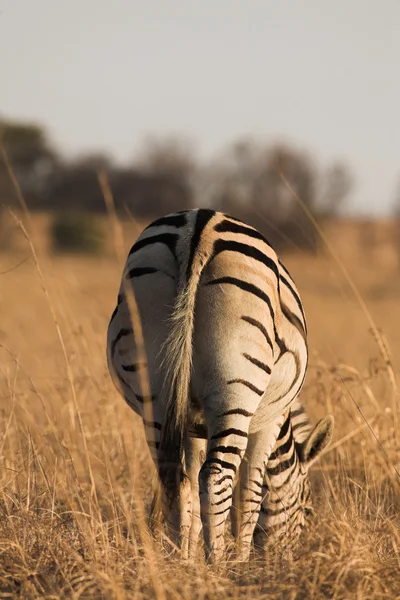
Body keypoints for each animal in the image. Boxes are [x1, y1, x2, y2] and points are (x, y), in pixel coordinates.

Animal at [104, 207, 332, 564]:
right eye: (307, 510)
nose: (284, 561)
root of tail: (200, 225)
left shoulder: (192, 423)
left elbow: (194, 492)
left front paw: (189, 556)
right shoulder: (268, 422)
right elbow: (250, 492)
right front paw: (239, 560)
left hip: (156, 389)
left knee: (174, 476)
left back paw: (179, 560)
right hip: (236, 390)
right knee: (216, 479)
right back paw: (220, 563)